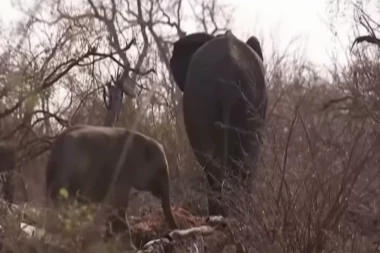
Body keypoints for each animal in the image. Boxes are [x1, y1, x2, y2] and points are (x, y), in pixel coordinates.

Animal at [45, 125, 178, 248]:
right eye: (161, 170)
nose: (171, 234)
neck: (144, 139)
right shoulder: (122, 170)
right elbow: (118, 205)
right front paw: (130, 248)